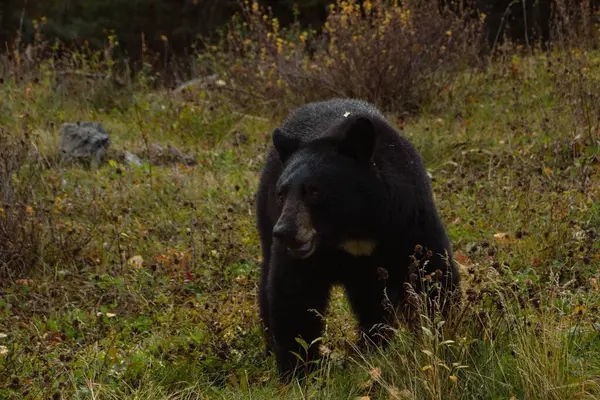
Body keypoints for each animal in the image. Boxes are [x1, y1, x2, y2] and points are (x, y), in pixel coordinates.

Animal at [254, 98, 460, 380]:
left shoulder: (408, 220)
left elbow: (432, 275)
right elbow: (293, 293)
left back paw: (373, 344)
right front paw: (298, 370)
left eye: (314, 191)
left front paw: (441, 336)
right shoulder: (305, 256)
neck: (354, 228)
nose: (284, 231)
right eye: (282, 194)